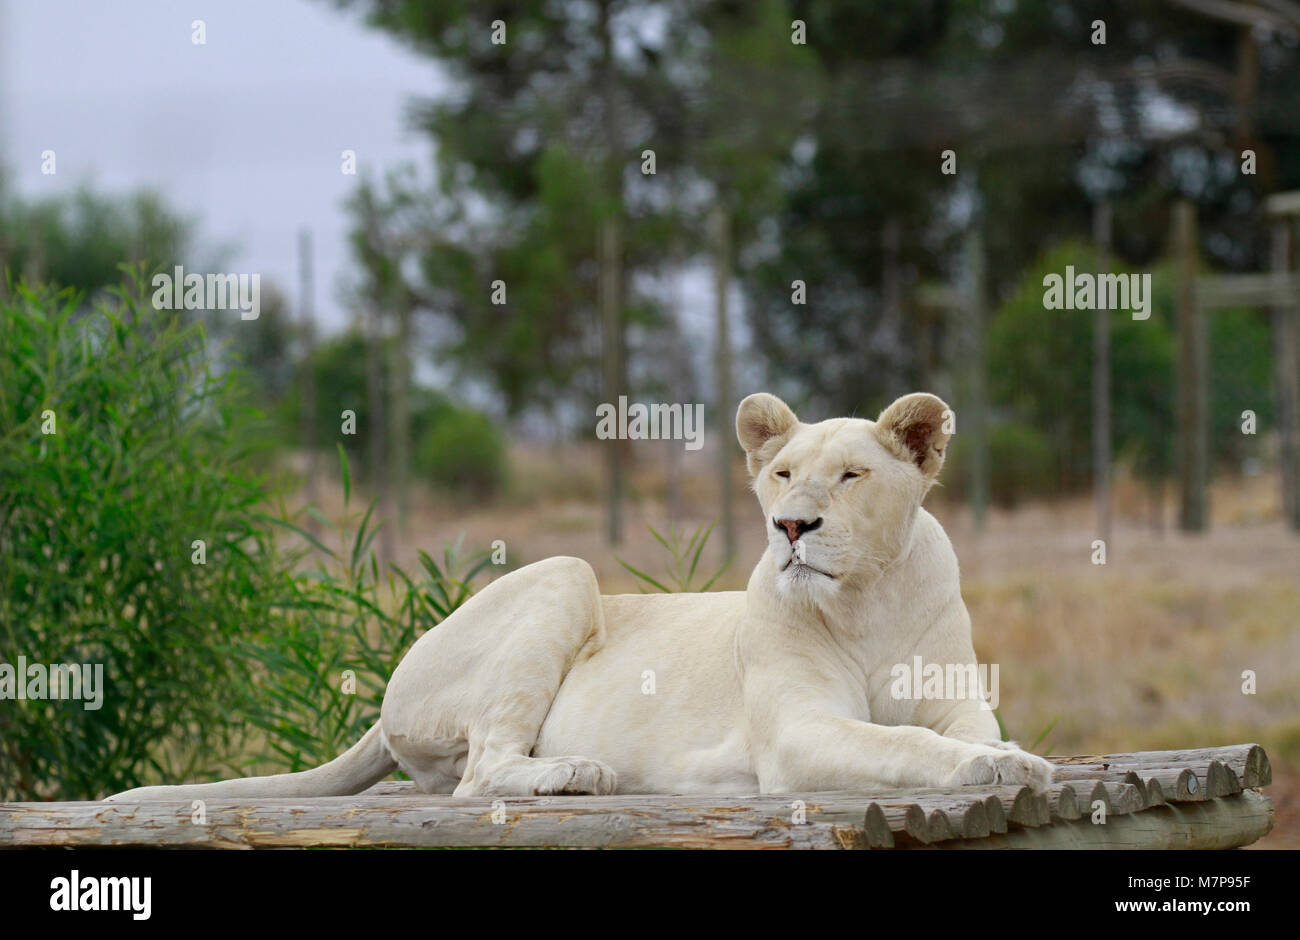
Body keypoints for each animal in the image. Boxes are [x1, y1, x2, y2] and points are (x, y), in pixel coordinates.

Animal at [107, 392, 1053, 801]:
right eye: (783, 474)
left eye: (851, 476)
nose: (791, 525)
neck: (865, 599)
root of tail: (387, 701)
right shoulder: (794, 733)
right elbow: (902, 744)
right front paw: (997, 767)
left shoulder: (954, 699)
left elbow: (960, 730)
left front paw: (1011, 757)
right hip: (562, 574)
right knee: (479, 777)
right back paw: (573, 774)